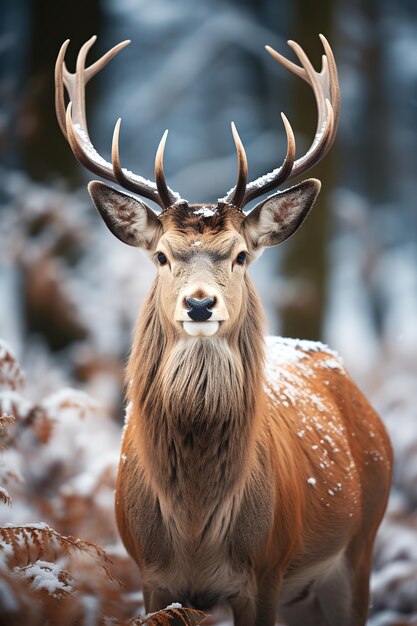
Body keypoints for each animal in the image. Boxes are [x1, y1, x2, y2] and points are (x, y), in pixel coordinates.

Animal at [54, 35, 390, 624]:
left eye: (239, 256)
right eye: (162, 255)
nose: (199, 304)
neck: (193, 528)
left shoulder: (265, 570)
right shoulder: (151, 575)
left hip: (361, 543)